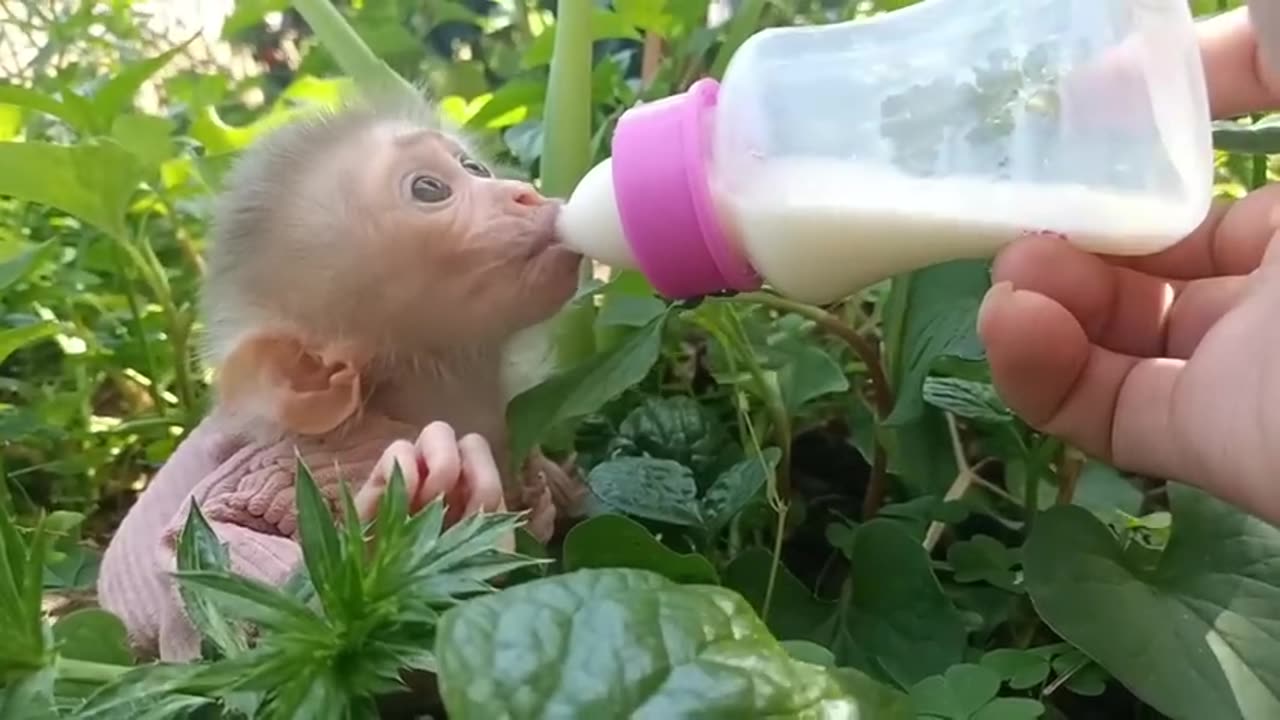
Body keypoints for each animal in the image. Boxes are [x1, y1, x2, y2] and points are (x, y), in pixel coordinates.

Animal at [102, 92, 583, 661]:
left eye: (475, 168)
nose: (524, 194)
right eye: (429, 189)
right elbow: (196, 542)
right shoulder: (303, 461)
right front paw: (403, 527)